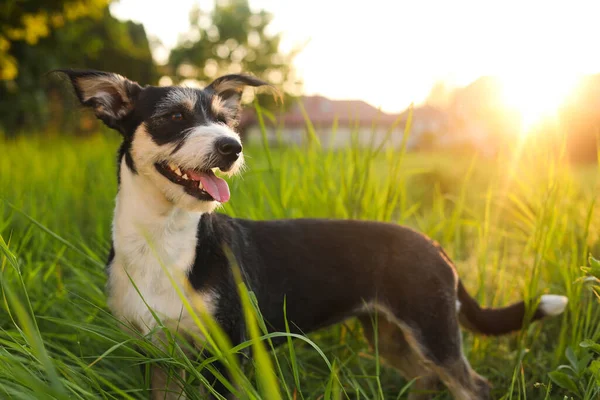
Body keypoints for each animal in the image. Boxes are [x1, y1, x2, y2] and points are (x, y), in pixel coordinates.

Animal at [58, 69, 568, 400]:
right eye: (174, 117)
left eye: (226, 119)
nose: (231, 147)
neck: (165, 240)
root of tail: (434, 246)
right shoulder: (158, 356)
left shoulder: (230, 353)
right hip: (387, 333)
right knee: (426, 379)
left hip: (433, 328)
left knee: (471, 385)